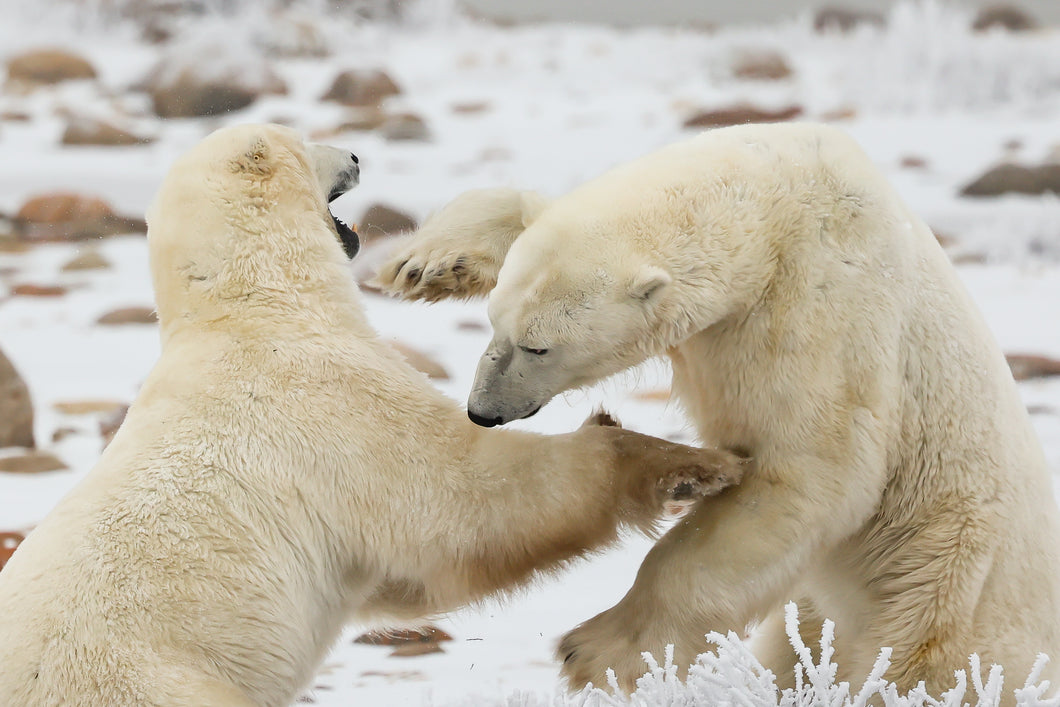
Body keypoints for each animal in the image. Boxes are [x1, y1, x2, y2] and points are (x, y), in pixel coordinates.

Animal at [0, 124, 749, 707]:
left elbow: (406, 579)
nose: (357, 154)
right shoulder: (331, 410)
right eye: (305, 139)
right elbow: (468, 505)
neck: (258, 311)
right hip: (155, 680)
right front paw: (698, 462)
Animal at [373, 122, 1060, 701]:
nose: (481, 410)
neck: (781, 205)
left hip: (947, 569)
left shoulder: (825, 307)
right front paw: (426, 263)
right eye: (495, 322)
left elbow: (809, 470)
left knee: (927, 662)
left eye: (539, 345)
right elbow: (526, 209)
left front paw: (597, 649)